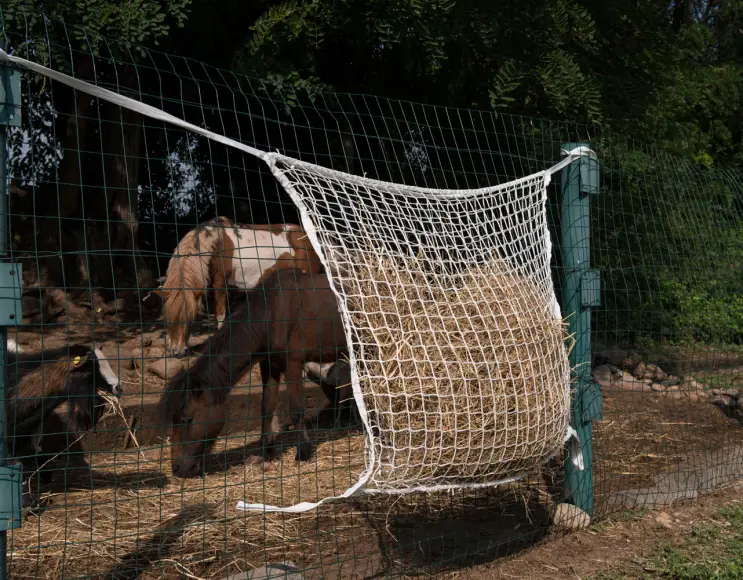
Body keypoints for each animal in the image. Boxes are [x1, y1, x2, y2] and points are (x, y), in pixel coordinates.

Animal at [154, 215, 322, 356]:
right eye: (166, 317)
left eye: (189, 317)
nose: (177, 351)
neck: (215, 244)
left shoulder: (220, 284)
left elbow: (221, 315)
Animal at [161, 268, 352, 476]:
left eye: (187, 418)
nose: (177, 469)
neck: (273, 311)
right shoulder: (269, 365)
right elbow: (266, 408)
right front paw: (266, 452)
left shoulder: (293, 363)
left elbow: (295, 410)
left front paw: (303, 452)